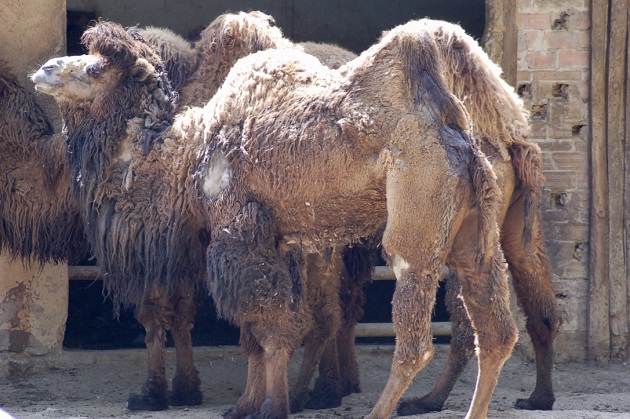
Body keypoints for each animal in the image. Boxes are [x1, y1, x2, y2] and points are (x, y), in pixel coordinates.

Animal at [32, 18, 520, 418]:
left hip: (417, 214)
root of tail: (459, 137)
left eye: (95, 69)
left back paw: (378, 409)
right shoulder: (279, 238)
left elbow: (267, 325)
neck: (187, 157)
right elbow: (264, 329)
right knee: (495, 328)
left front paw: (272, 407)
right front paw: (247, 405)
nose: (44, 69)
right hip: (475, 230)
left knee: (415, 337)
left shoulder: (237, 231)